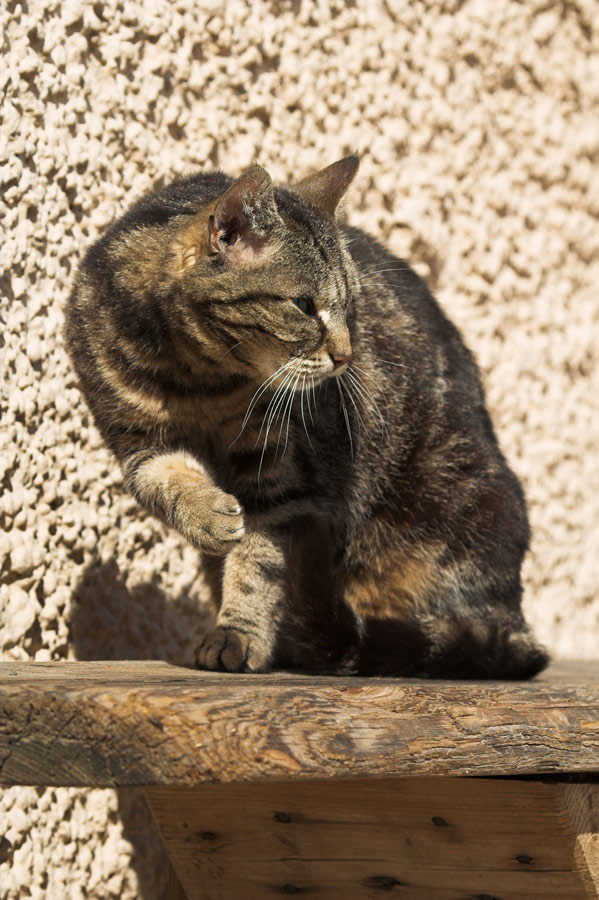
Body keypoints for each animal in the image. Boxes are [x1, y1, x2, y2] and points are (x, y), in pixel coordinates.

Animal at [64, 153, 548, 676]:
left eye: (350, 306)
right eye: (303, 306)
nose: (346, 356)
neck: (198, 381)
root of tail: (515, 618)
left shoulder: (284, 472)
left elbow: (260, 562)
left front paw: (239, 634)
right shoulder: (136, 442)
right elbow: (165, 483)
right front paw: (208, 515)